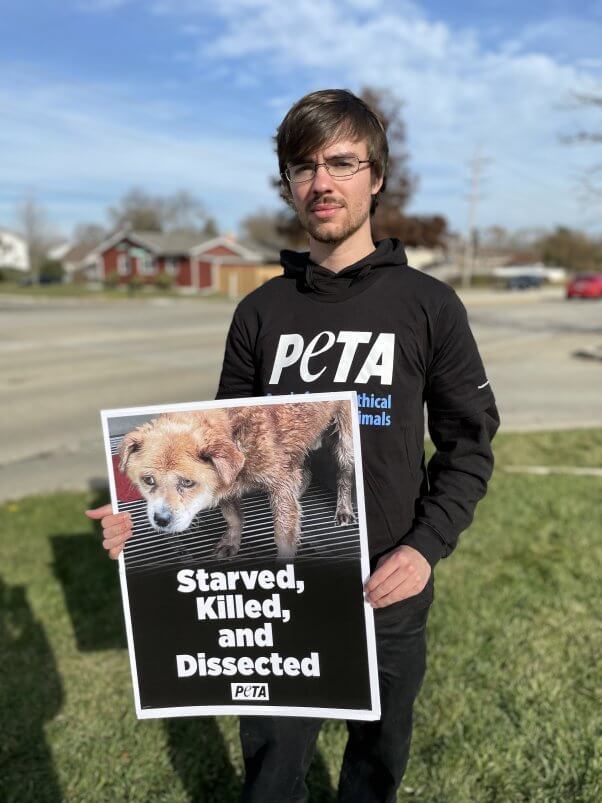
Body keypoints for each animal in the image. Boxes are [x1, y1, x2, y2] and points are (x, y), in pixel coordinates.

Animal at [119, 402, 354, 560]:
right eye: (148, 480)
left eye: (187, 483)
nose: (161, 520)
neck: (235, 433)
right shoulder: (226, 485)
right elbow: (233, 518)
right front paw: (232, 541)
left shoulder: (281, 483)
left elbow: (284, 537)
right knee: (304, 470)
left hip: (346, 440)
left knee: (344, 475)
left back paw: (344, 509)